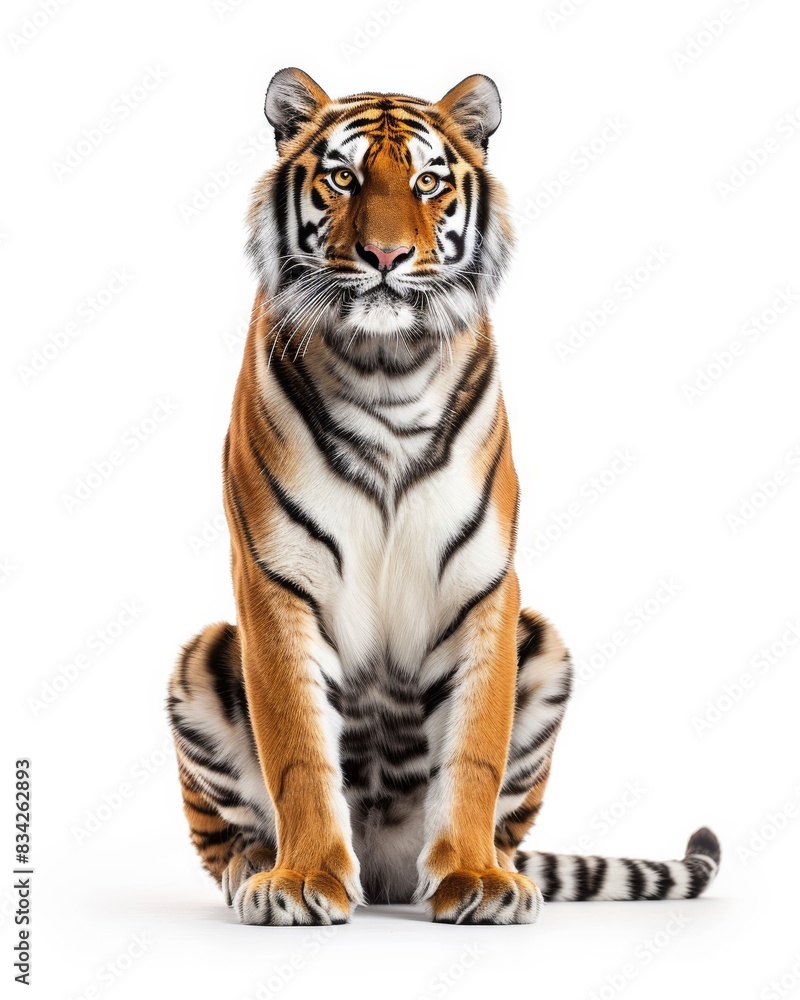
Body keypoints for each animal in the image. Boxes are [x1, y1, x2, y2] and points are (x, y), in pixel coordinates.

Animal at [166, 68, 721, 926]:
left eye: (428, 182)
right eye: (343, 177)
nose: (387, 254)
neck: (385, 365)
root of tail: (386, 872)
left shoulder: (483, 585)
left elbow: (474, 751)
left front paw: (475, 878)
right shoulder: (275, 582)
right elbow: (298, 750)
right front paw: (302, 878)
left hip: (545, 646)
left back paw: (500, 866)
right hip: (202, 656)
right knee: (220, 838)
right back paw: (256, 865)